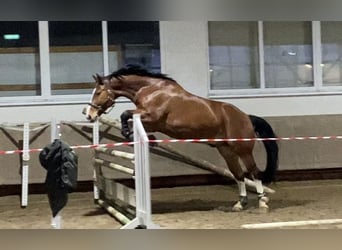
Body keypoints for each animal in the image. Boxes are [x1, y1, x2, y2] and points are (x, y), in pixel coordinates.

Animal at [85, 65, 278, 212]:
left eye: (98, 92)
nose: (89, 115)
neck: (150, 90)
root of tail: (246, 117)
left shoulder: (151, 116)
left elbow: (125, 114)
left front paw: (128, 132)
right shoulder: (150, 122)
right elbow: (132, 121)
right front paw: (140, 136)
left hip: (242, 149)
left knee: (254, 172)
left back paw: (262, 201)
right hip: (226, 150)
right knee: (238, 174)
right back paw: (240, 203)